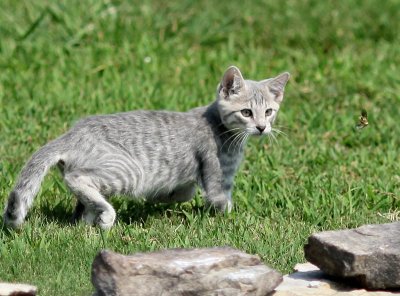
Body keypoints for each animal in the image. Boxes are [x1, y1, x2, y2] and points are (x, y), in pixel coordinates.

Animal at [3, 66, 290, 229]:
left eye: (269, 111)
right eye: (246, 112)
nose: (262, 127)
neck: (218, 126)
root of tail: (73, 133)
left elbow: (183, 193)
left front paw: (163, 197)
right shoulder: (218, 179)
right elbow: (222, 203)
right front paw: (230, 220)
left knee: (82, 204)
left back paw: (90, 220)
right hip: (127, 171)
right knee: (77, 179)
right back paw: (107, 216)